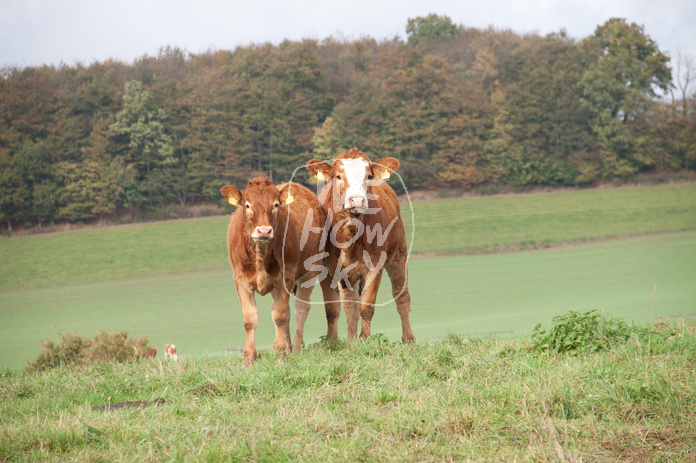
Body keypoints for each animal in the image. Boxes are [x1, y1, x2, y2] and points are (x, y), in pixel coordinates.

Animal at [223, 178, 332, 362]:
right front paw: (249, 356)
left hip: (310, 272)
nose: (264, 230)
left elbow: (279, 315)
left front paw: (280, 351)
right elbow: (250, 318)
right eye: (247, 205)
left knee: (300, 310)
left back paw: (296, 348)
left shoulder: (285, 278)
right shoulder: (241, 280)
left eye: (275, 204)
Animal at [308, 149, 416, 344]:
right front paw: (333, 342)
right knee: (351, 304)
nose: (357, 200)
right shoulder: (326, 269)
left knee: (401, 295)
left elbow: (366, 305)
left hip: (399, 254)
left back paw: (408, 337)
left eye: (369, 176)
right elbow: (334, 309)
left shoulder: (375, 264)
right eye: (338, 176)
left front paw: (365, 338)